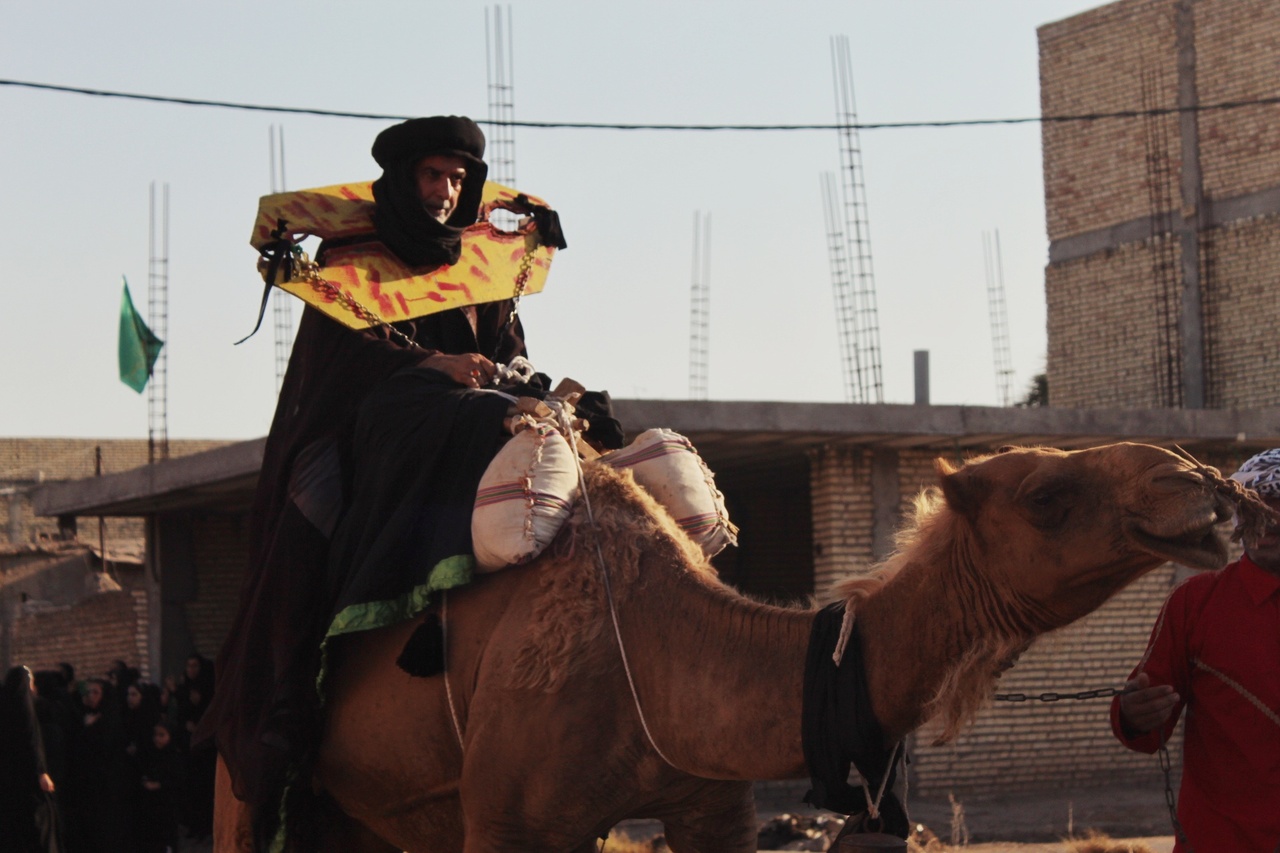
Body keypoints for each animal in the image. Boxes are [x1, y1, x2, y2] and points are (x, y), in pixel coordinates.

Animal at [215, 440, 1244, 845]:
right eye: (1046, 494)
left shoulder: (711, 805)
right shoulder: (505, 820)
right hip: (247, 770)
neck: (658, 655)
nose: (1201, 480)